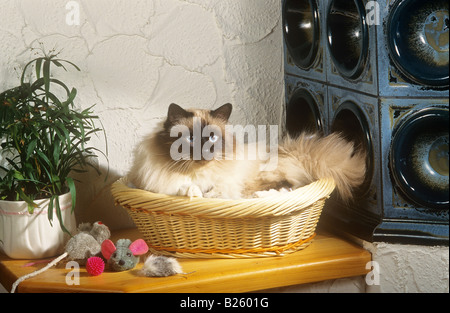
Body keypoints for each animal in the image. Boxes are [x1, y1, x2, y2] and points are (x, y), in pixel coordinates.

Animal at [126, 102, 366, 200]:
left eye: (212, 137)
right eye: (190, 138)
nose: (205, 151)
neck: (199, 174)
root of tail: (287, 150)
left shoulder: (225, 186)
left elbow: (212, 192)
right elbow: (185, 188)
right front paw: (193, 192)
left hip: (264, 177)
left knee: (287, 186)